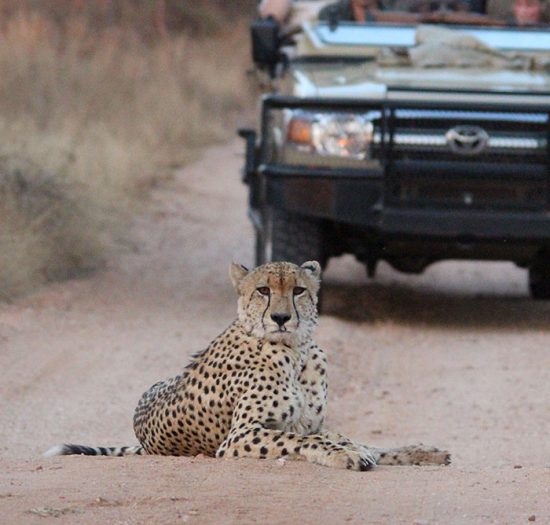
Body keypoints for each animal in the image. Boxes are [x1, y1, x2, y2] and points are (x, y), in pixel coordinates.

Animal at [45, 260, 450, 468]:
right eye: (263, 290)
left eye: (298, 290)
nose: (282, 318)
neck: (297, 351)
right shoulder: (239, 436)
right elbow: (304, 438)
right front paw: (346, 454)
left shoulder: (311, 421)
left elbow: (335, 434)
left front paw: (406, 451)